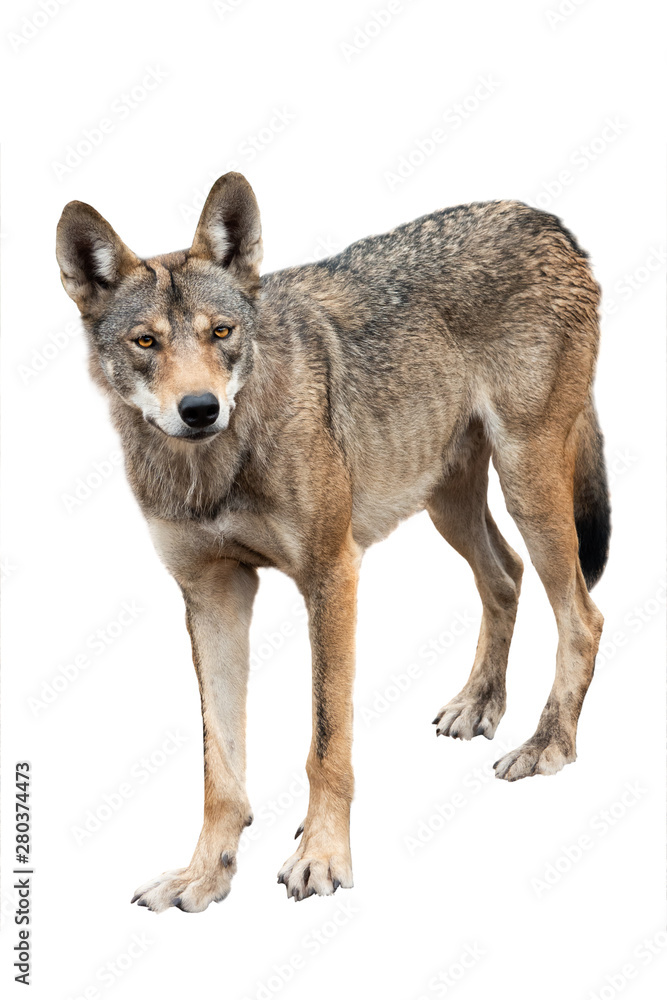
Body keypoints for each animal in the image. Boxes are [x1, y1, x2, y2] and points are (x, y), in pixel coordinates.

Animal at [56, 172, 610, 910]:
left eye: (221, 333)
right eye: (146, 343)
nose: (200, 409)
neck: (213, 469)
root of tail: (546, 221)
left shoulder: (332, 574)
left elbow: (326, 742)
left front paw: (320, 857)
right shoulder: (212, 594)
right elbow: (218, 766)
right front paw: (204, 875)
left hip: (527, 486)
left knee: (582, 616)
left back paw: (547, 745)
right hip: (446, 503)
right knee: (506, 576)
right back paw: (479, 705)